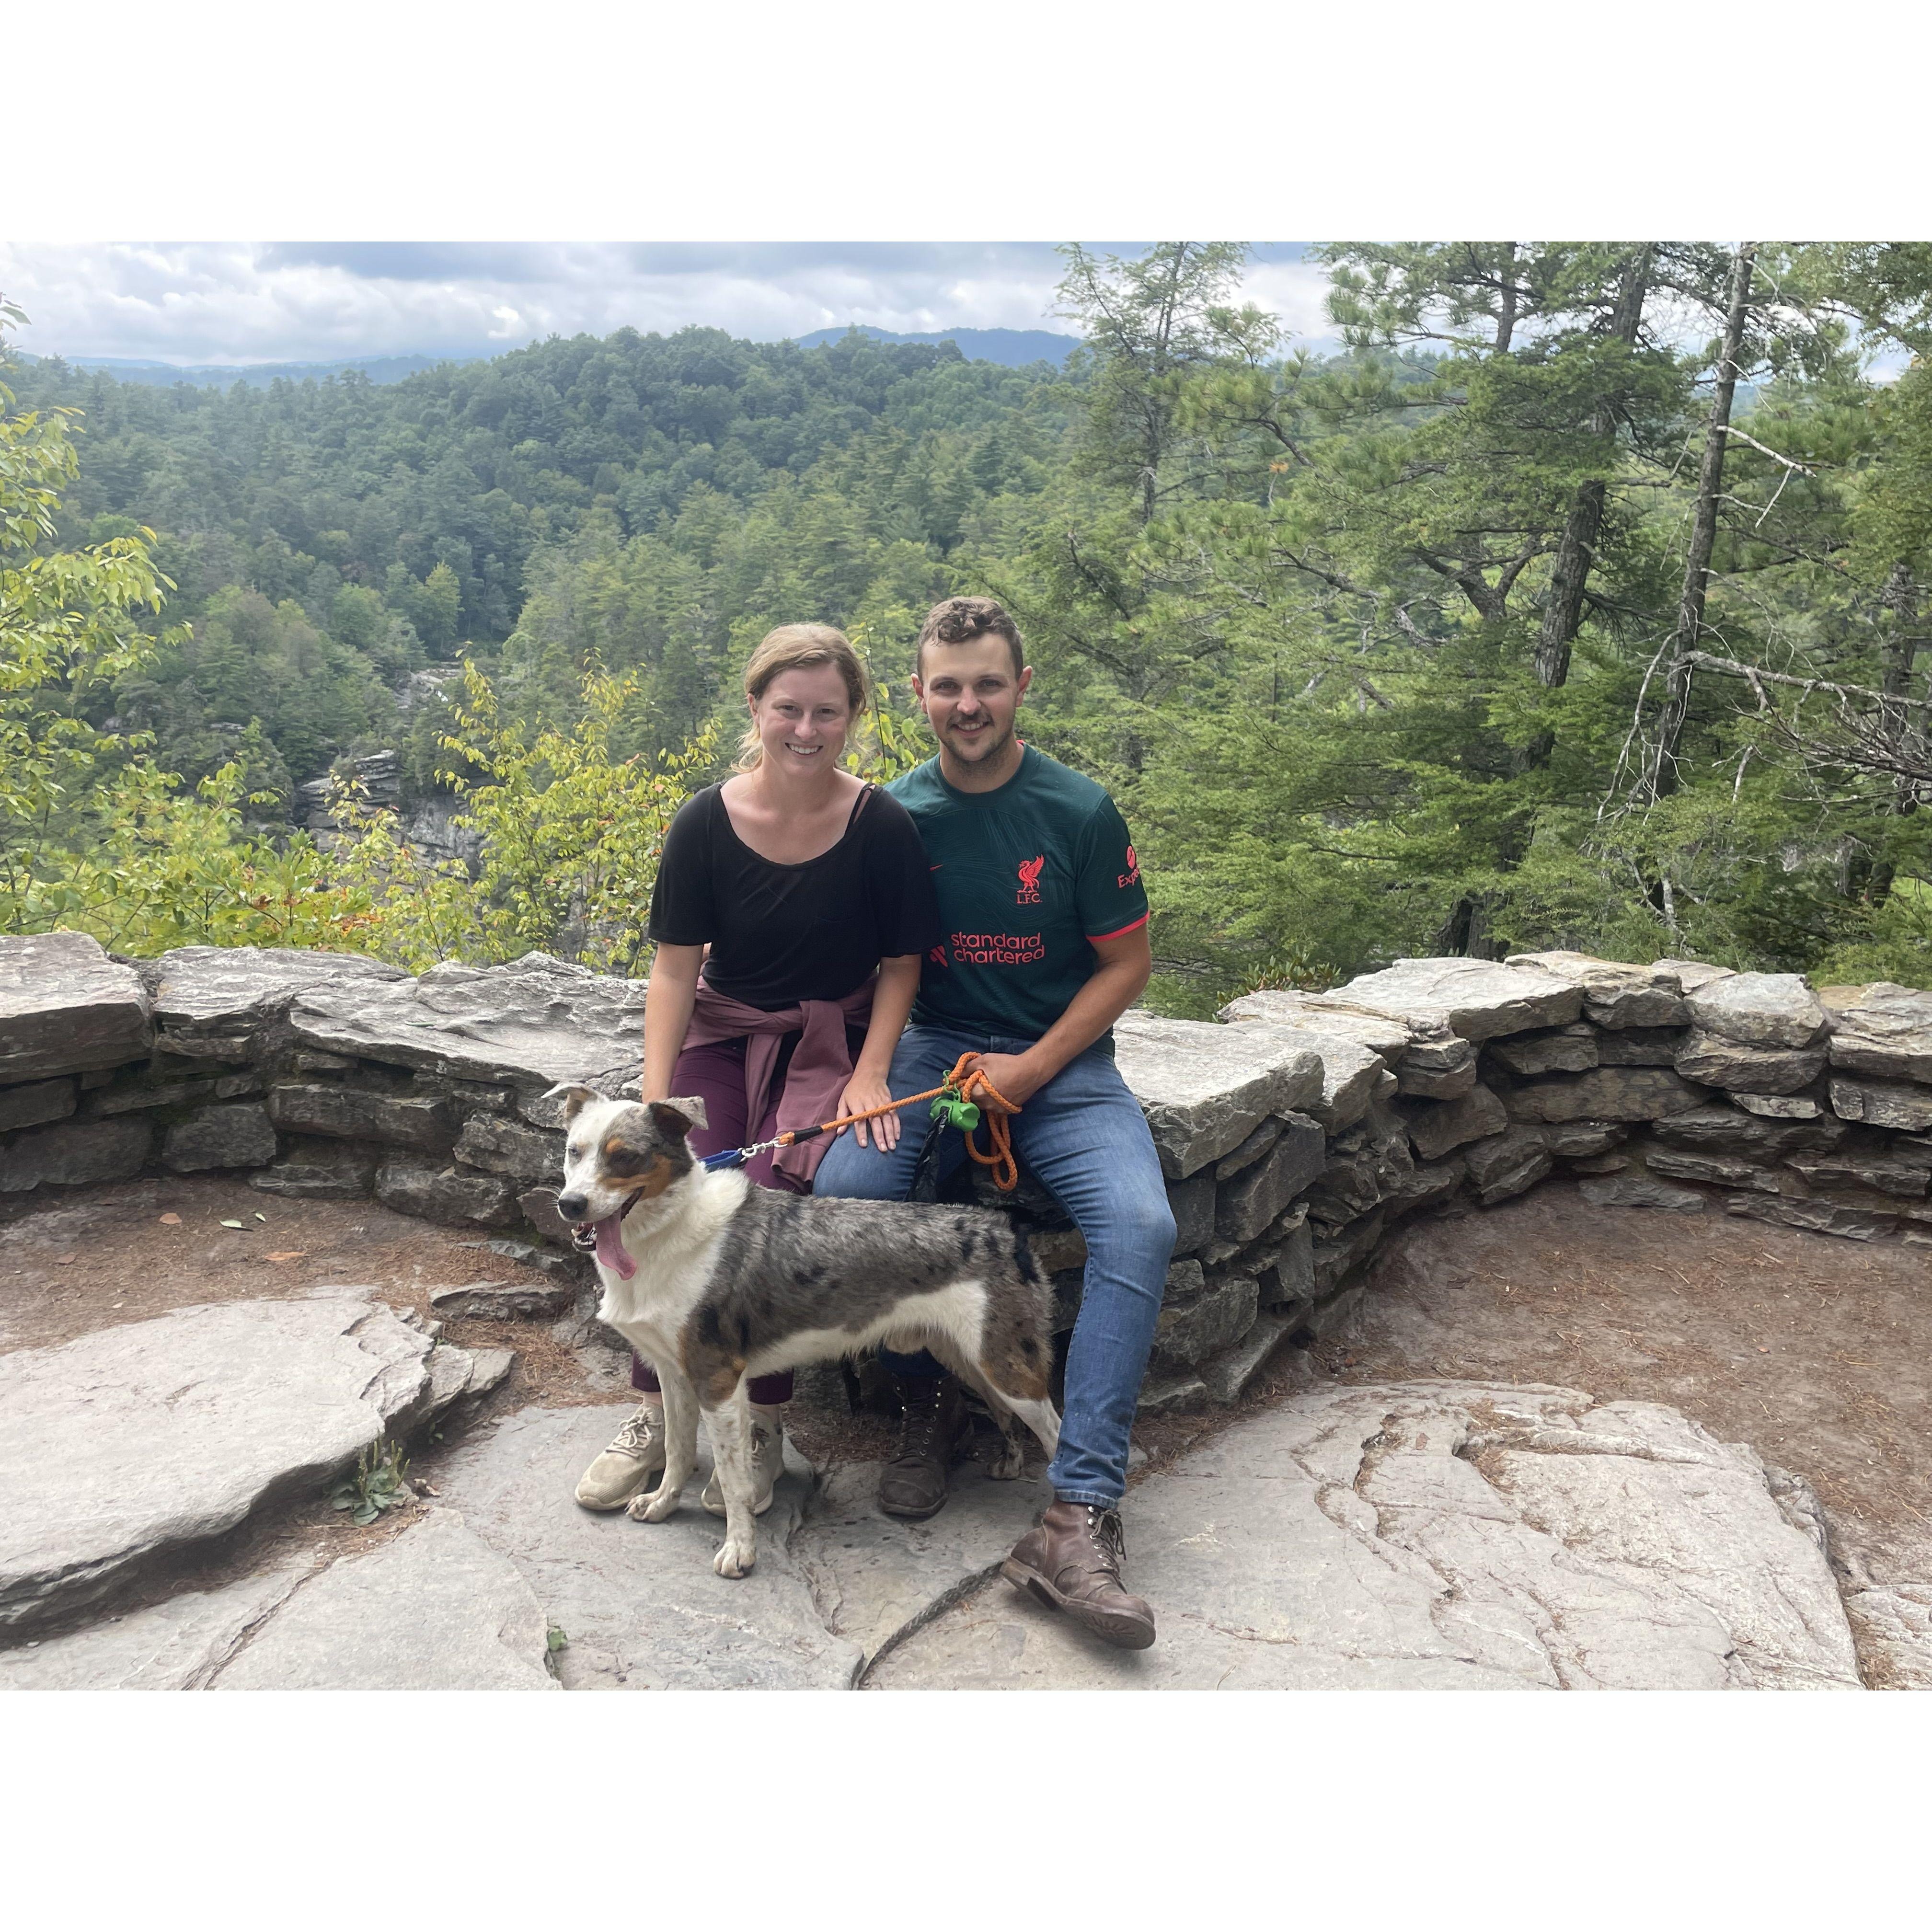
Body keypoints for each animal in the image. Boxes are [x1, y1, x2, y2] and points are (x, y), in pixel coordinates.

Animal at [552, 1081, 1066, 1576]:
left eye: (625, 1157)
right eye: (574, 1151)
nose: (570, 1205)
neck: (670, 1232)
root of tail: (1004, 1227)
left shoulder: (718, 1383)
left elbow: (735, 1481)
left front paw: (740, 1551)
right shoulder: (675, 1376)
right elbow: (678, 1452)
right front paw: (663, 1505)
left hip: (1006, 1366)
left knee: (1057, 1432)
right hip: (972, 1360)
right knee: (1003, 1414)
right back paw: (1009, 1464)